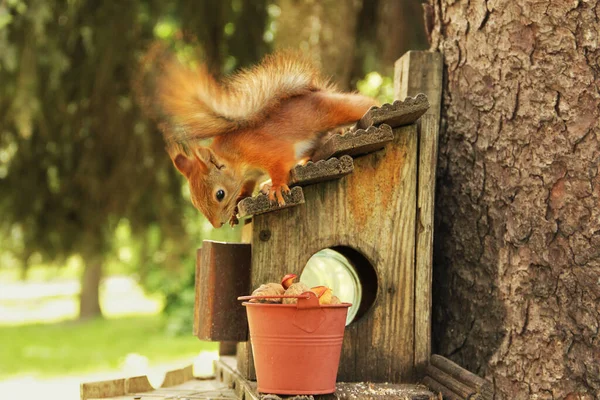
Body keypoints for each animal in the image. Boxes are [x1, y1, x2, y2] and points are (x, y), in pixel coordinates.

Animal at [150, 49, 376, 228]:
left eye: (220, 194)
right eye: (195, 202)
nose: (217, 225)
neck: (237, 159)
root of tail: (315, 92)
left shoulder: (265, 150)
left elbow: (280, 164)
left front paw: (275, 187)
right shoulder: (249, 175)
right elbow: (246, 187)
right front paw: (239, 202)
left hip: (332, 110)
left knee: (358, 104)